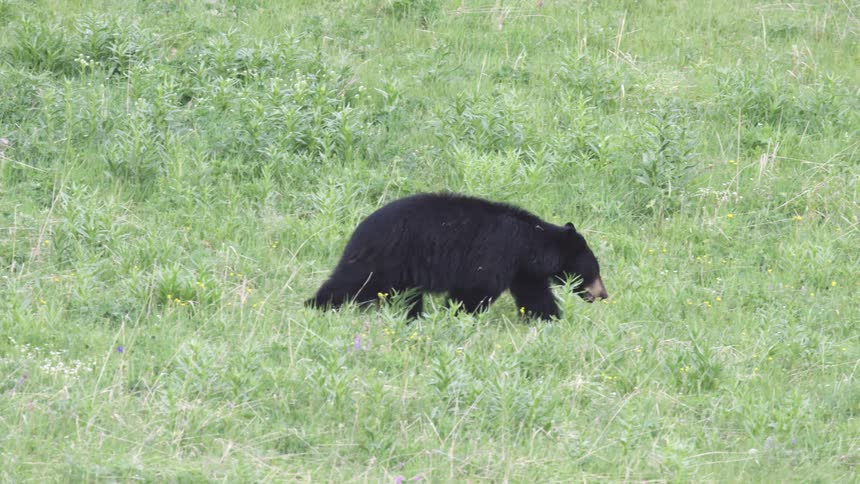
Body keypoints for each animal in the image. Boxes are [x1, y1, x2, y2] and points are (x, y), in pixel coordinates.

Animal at [305, 192, 608, 320]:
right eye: (594, 271)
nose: (603, 295)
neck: (529, 244)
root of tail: (360, 228)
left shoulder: (522, 270)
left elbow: (535, 295)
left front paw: (550, 319)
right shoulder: (497, 253)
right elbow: (476, 290)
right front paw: (459, 316)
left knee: (406, 296)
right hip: (385, 256)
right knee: (351, 281)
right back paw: (316, 305)